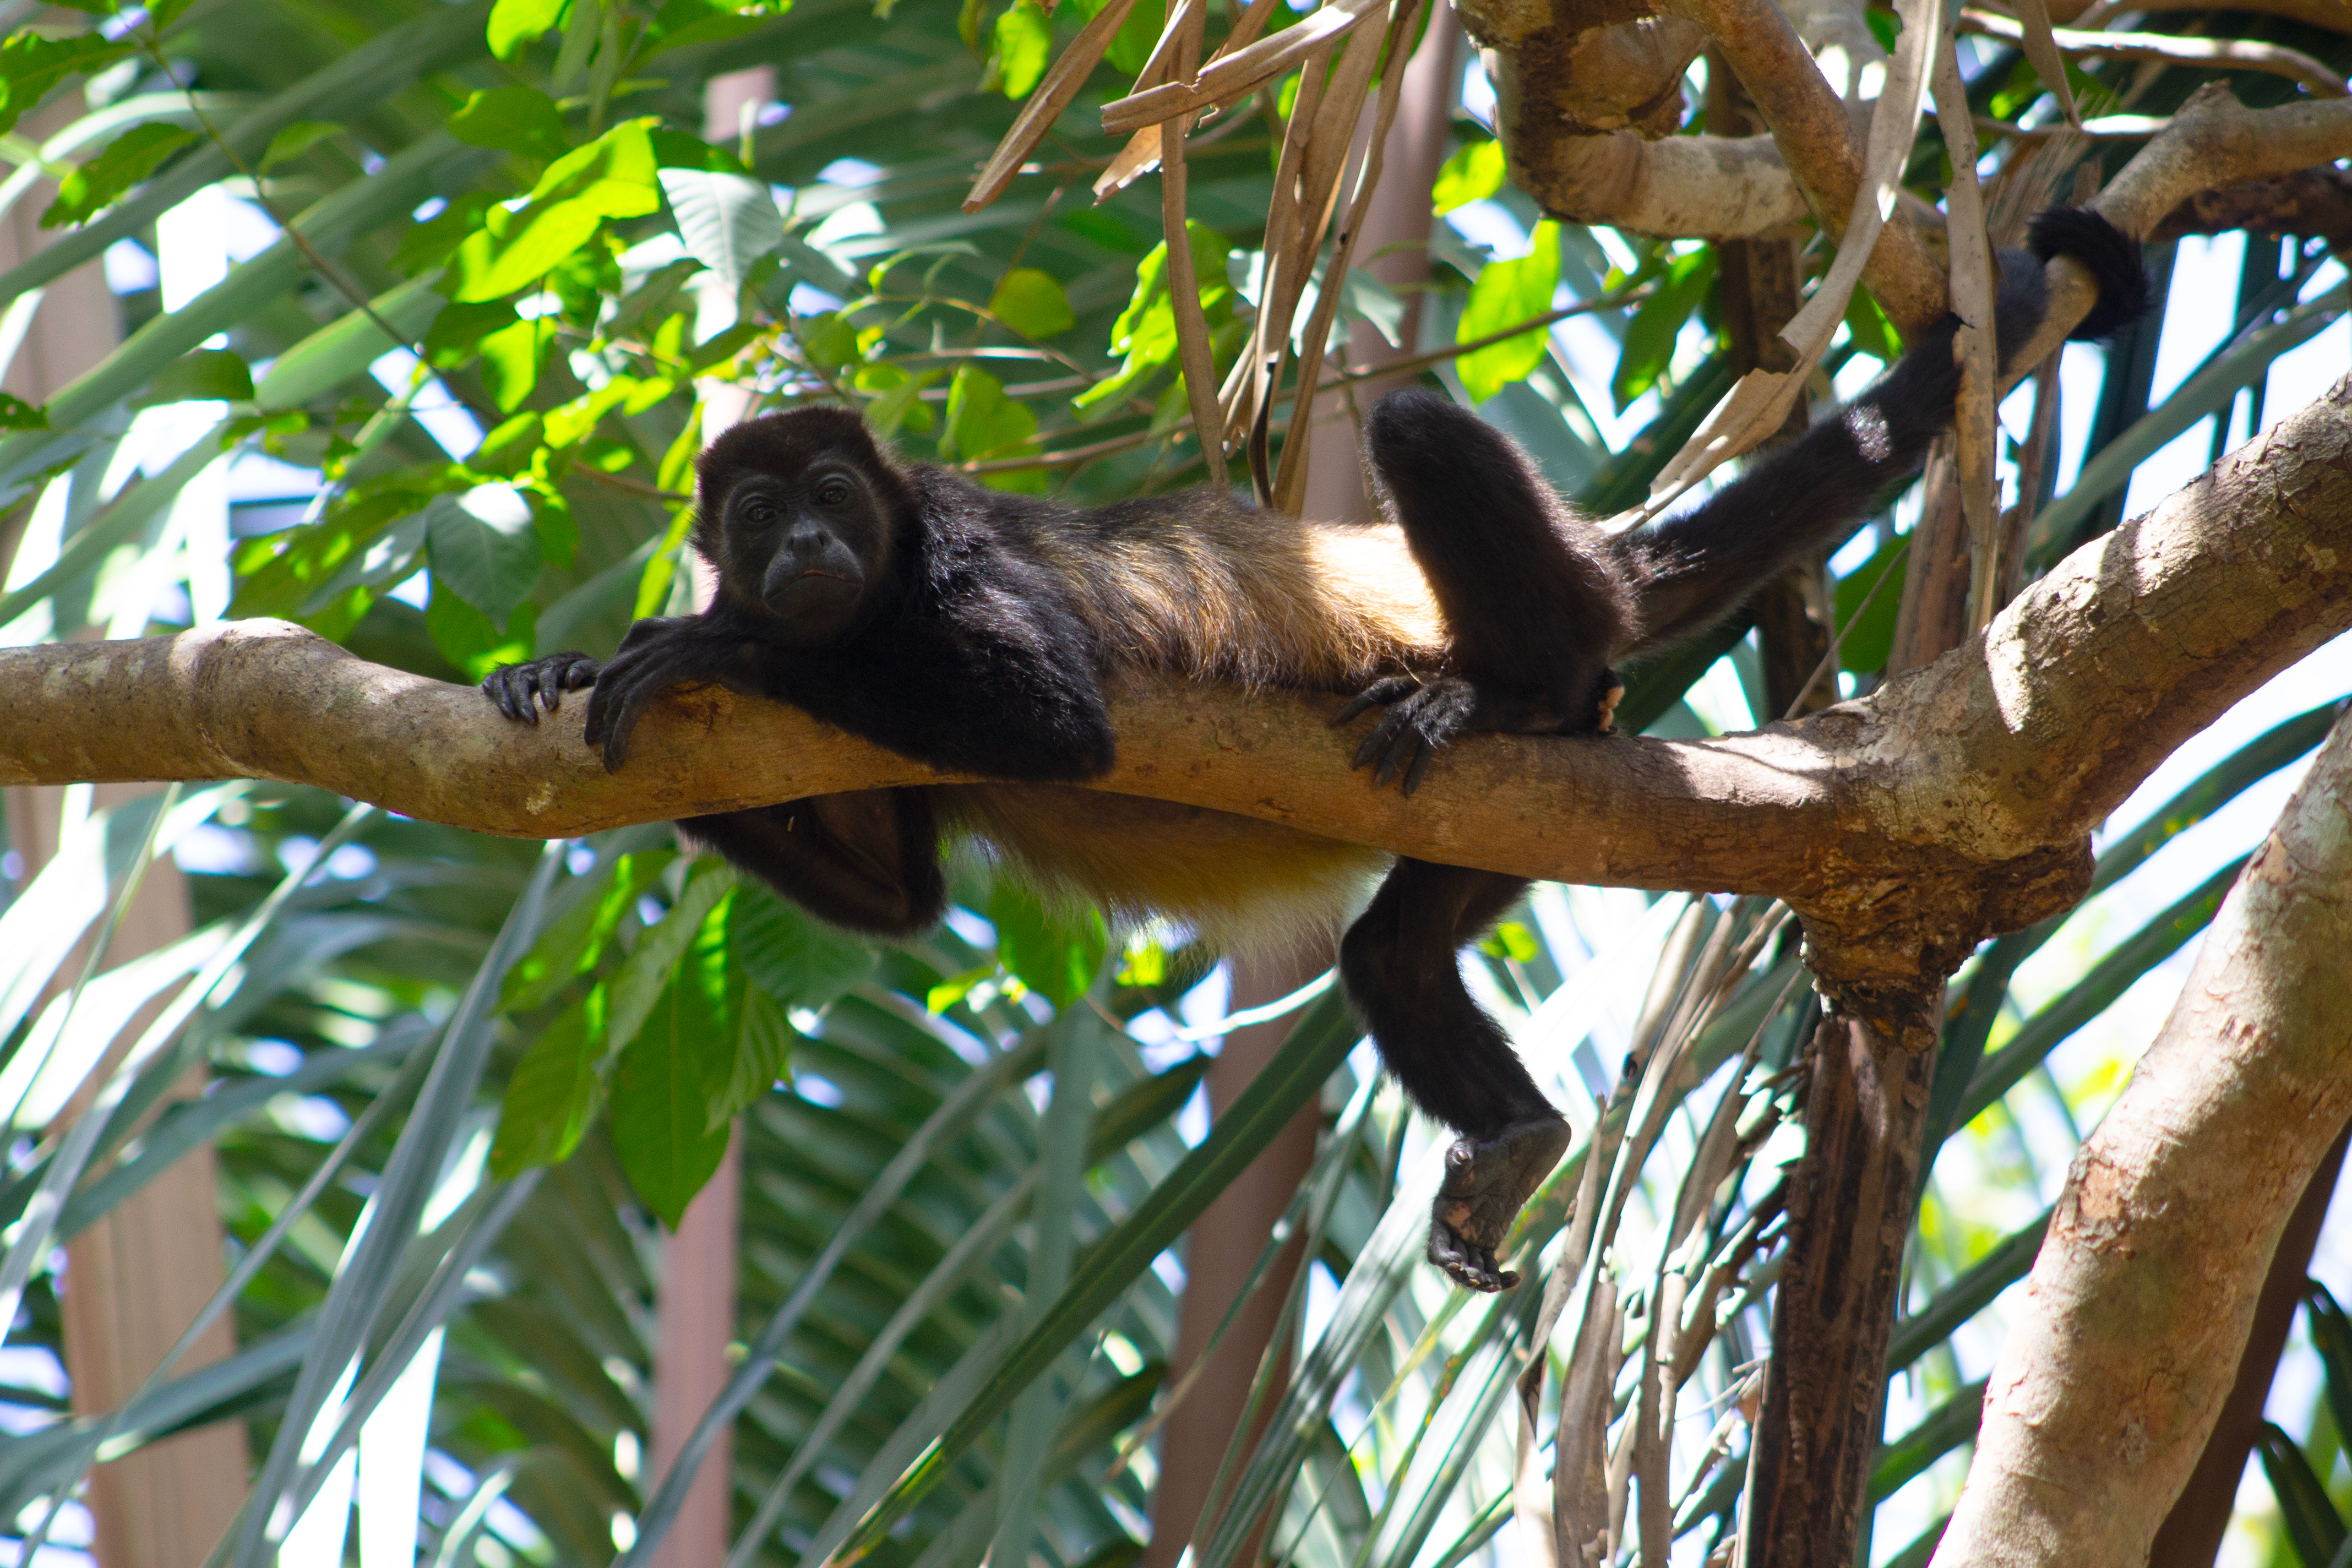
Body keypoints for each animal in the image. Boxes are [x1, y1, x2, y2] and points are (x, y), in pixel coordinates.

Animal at [484, 207, 2146, 1292]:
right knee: (1392, 957)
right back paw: (1520, 1131)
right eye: (758, 512)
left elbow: (1053, 719)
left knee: (1419, 441)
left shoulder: (957, 547)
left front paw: (709, 647)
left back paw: (1509, 696)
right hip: (1508, 837)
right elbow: (904, 904)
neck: (889, 575)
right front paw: (578, 668)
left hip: (1556, 616)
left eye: (832, 491)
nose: (807, 546)